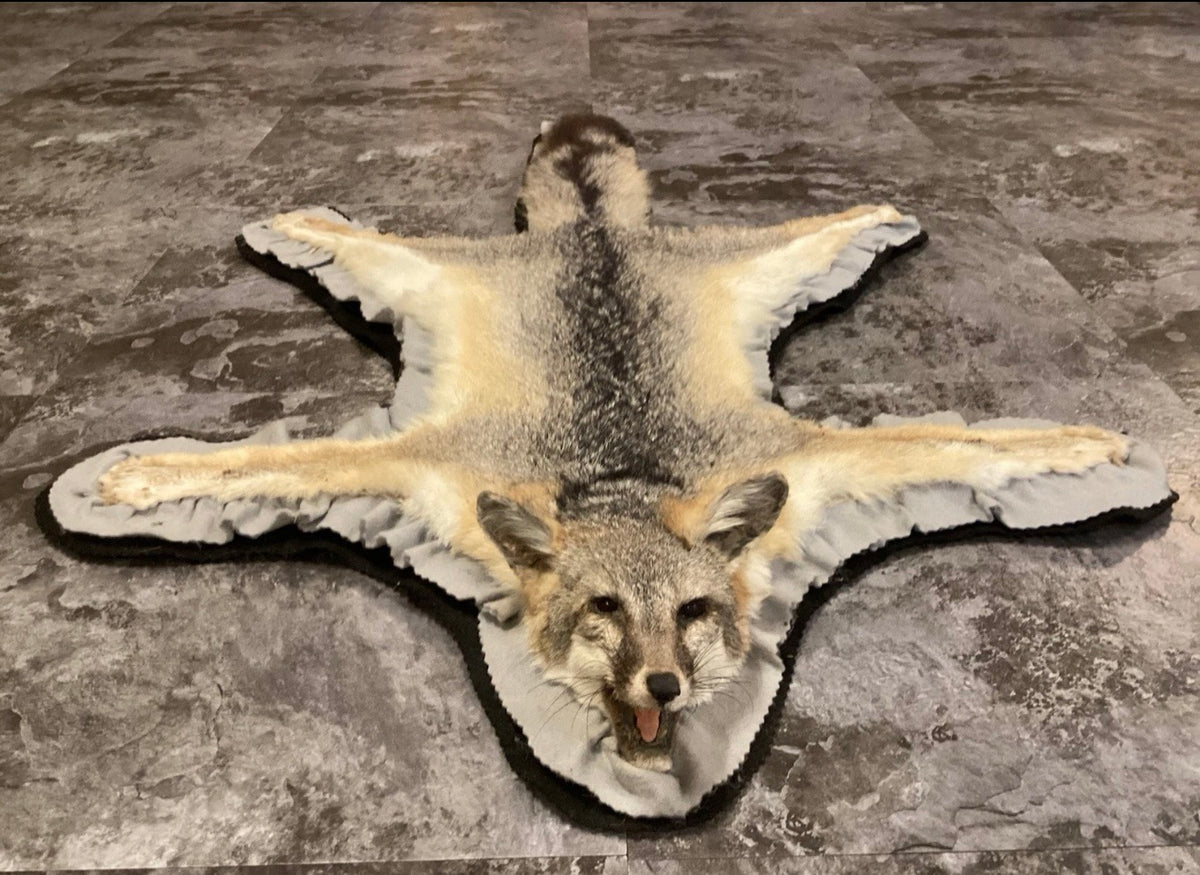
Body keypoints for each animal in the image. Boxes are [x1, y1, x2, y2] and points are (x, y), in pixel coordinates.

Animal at [98, 114, 1129, 771]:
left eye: (693, 613)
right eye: (604, 610)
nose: (665, 687)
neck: (617, 474)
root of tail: (595, 235)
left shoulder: (806, 461)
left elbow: (956, 445)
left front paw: (1084, 446)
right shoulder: (426, 465)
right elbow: (262, 462)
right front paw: (143, 475)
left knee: (820, 225)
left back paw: (868, 215)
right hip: (424, 272)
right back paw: (303, 221)